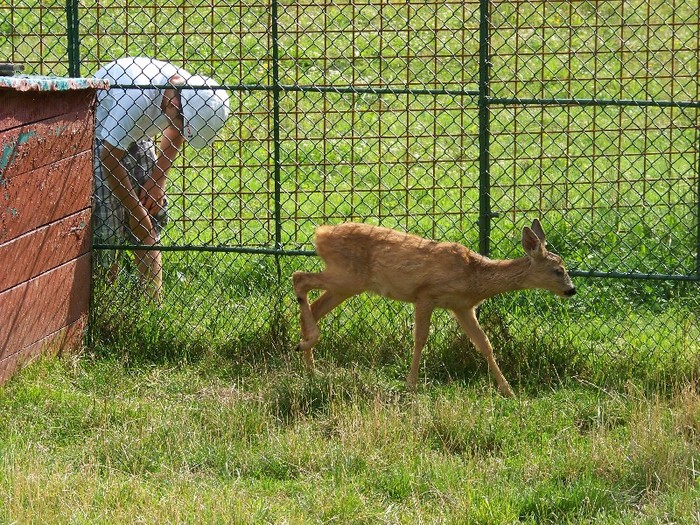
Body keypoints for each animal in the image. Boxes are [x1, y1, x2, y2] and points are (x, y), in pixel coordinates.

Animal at [292, 219, 576, 396]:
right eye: (558, 270)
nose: (571, 290)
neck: (474, 277)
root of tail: (320, 233)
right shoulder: (425, 295)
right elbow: (420, 339)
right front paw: (412, 384)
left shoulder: (462, 307)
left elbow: (485, 344)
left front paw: (508, 390)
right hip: (348, 276)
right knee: (299, 277)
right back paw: (306, 347)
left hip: (347, 283)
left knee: (313, 305)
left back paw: (311, 367)